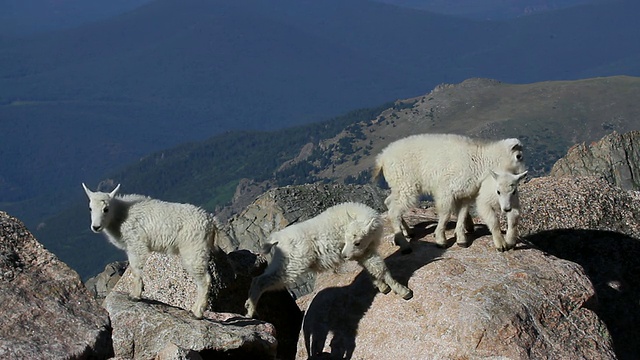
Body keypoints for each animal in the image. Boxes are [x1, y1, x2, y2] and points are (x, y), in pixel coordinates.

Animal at [82, 183, 216, 318]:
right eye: (90, 208)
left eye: (106, 209)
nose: (96, 227)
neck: (121, 215)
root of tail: (211, 222)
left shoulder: (136, 243)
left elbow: (136, 269)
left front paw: (135, 295)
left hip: (194, 249)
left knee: (204, 280)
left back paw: (197, 311)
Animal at [242, 202, 412, 318]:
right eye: (345, 238)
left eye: (357, 242)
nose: (344, 255)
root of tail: (276, 239)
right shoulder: (363, 252)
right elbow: (381, 269)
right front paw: (403, 291)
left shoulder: (362, 253)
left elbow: (373, 269)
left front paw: (382, 287)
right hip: (292, 263)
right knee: (262, 280)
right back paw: (250, 311)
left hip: (282, 261)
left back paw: (248, 305)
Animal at [372, 133, 528, 253]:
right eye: (519, 156)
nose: (524, 177)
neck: (480, 161)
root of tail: (382, 158)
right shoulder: (445, 191)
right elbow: (446, 214)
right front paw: (441, 240)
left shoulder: (465, 194)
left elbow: (462, 214)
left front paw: (461, 239)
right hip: (405, 185)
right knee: (394, 212)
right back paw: (404, 245)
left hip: (398, 187)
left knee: (389, 202)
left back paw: (408, 231)